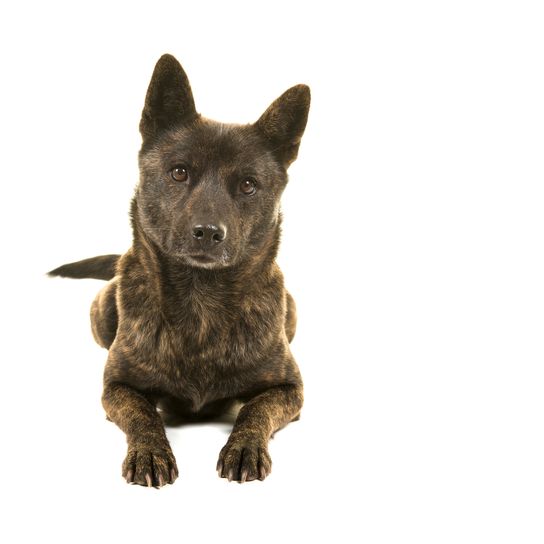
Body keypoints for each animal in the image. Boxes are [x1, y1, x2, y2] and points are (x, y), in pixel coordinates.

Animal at [49, 55, 312, 486]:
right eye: (179, 172)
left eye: (248, 185)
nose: (207, 232)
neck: (201, 302)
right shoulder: (116, 387)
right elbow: (142, 414)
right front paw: (150, 452)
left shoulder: (290, 389)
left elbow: (255, 410)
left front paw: (244, 446)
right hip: (102, 313)